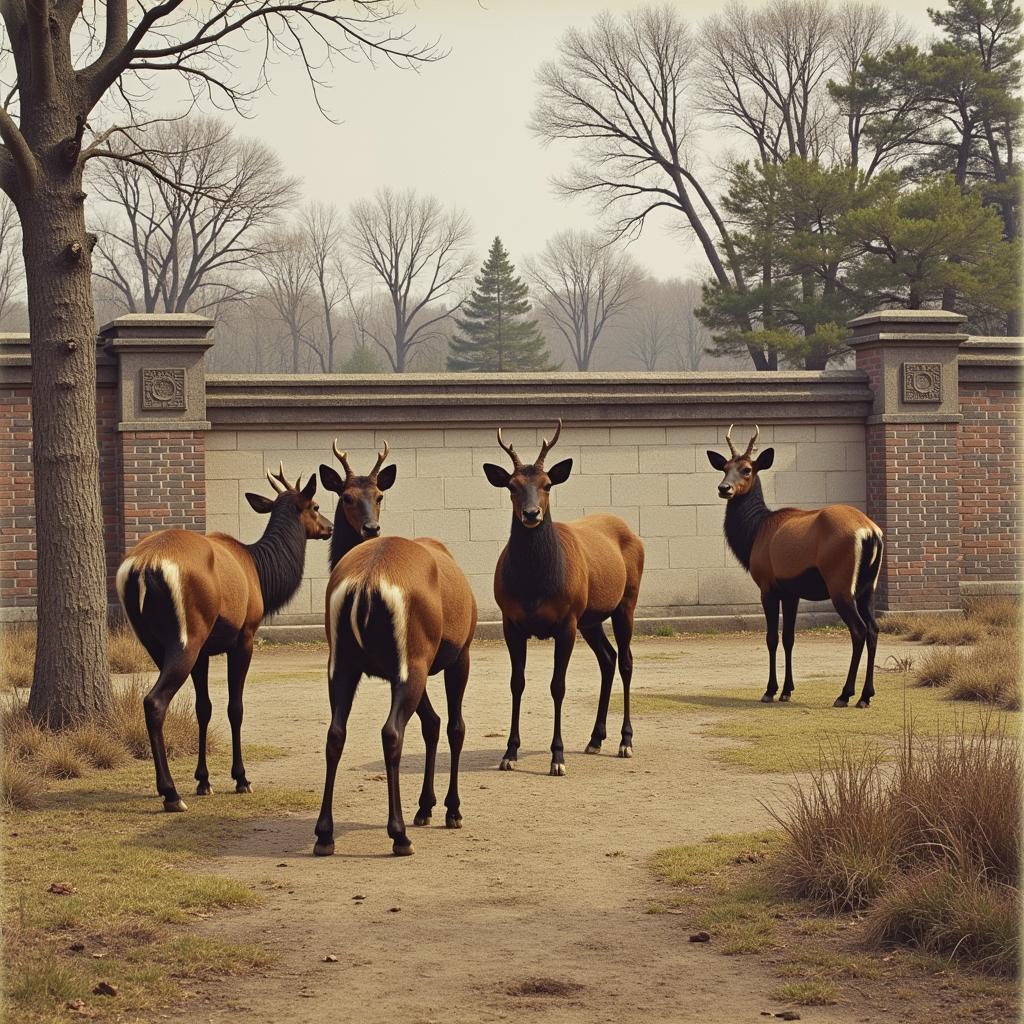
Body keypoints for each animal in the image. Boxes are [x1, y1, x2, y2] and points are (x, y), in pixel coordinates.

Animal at [117, 462, 331, 806]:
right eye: (315, 506)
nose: (330, 527)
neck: (261, 574)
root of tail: (143, 568)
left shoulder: (205, 651)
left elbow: (203, 708)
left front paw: (203, 780)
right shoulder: (244, 637)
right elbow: (235, 708)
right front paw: (241, 778)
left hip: (153, 641)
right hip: (186, 638)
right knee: (154, 701)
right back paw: (170, 793)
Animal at [313, 446, 477, 856]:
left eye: (379, 495)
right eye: (345, 496)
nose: (371, 528)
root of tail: (367, 581)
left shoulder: (386, 669)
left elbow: (432, 723)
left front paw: (427, 805)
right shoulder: (459, 653)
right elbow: (454, 726)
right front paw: (450, 809)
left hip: (344, 662)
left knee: (335, 733)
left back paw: (325, 834)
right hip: (412, 661)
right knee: (393, 732)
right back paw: (399, 833)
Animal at [483, 419, 643, 778]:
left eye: (547, 484)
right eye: (512, 485)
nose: (531, 514)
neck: (534, 586)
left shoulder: (566, 620)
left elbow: (558, 685)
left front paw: (557, 757)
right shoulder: (510, 620)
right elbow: (516, 682)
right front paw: (509, 753)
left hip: (626, 602)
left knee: (626, 660)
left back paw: (625, 742)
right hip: (591, 618)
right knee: (608, 657)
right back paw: (595, 739)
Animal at [708, 421, 884, 704]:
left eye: (747, 469)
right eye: (724, 467)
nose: (724, 488)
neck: (755, 532)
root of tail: (870, 532)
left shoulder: (767, 586)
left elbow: (771, 637)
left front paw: (770, 690)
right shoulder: (791, 592)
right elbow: (789, 638)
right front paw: (787, 690)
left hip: (841, 587)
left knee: (859, 630)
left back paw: (845, 694)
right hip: (868, 588)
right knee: (874, 629)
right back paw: (866, 695)